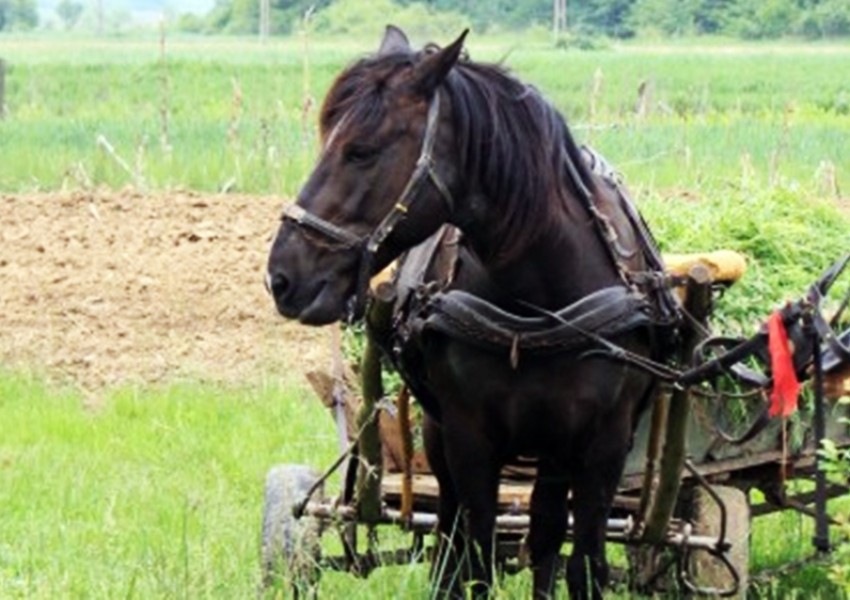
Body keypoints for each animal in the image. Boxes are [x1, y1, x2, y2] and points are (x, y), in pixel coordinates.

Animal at [268, 25, 672, 596]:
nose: (282, 277)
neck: (538, 306)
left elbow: (583, 562)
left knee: (545, 532)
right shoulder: (468, 437)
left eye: (361, 151)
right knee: (451, 534)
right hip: (441, 437)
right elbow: (475, 556)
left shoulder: (605, 441)